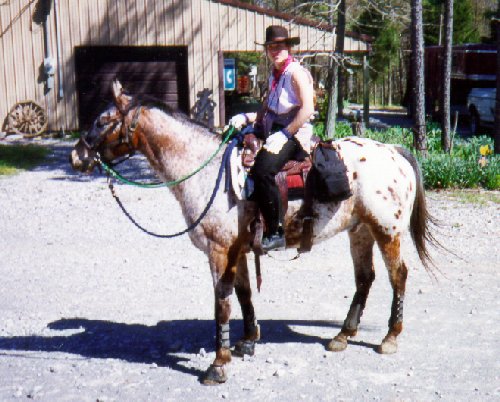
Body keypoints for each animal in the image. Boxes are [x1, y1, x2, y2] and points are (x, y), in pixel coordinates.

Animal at [70, 80, 438, 384]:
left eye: (103, 120)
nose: (77, 155)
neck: (204, 170)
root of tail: (394, 151)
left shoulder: (219, 250)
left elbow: (221, 302)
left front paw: (218, 364)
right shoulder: (239, 249)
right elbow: (244, 293)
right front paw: (247, 341)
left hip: (386, 230)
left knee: (398, 276)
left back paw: (390, 337)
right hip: (359, 230)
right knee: (365, 277)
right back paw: (343, 336)